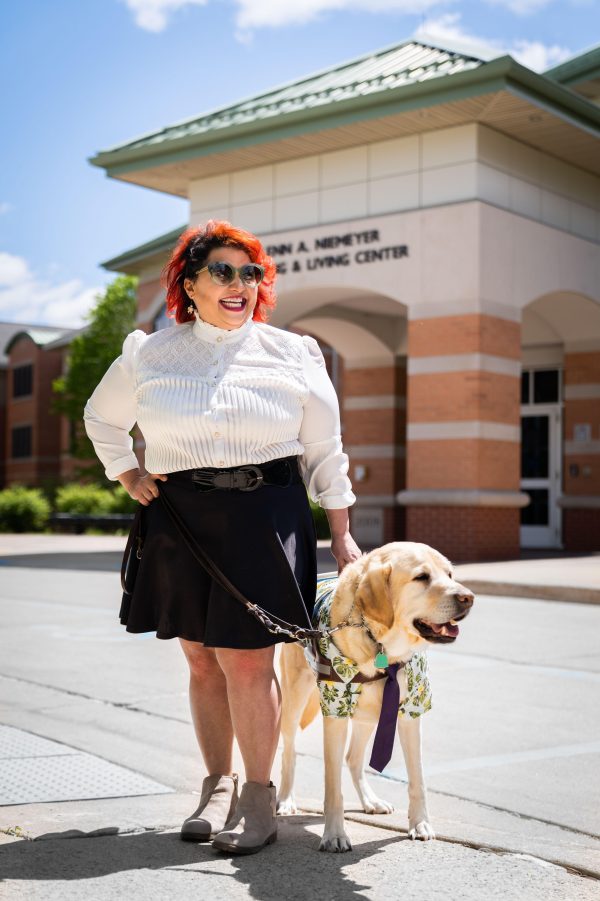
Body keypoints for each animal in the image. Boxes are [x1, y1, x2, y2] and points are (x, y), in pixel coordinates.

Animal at [278, 540, 476, 852]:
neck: (382, 647)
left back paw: (370, 801)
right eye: (422, 577)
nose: (468, 598)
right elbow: (332, 786)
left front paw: (420, 824)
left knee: (354, 759)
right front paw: (334, 834)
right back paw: (286, 800)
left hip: (369, 714)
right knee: (289, 750)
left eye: (449, 574)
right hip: (295, 697)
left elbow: (417, 779)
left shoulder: (410, 713)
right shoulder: (334, 712)